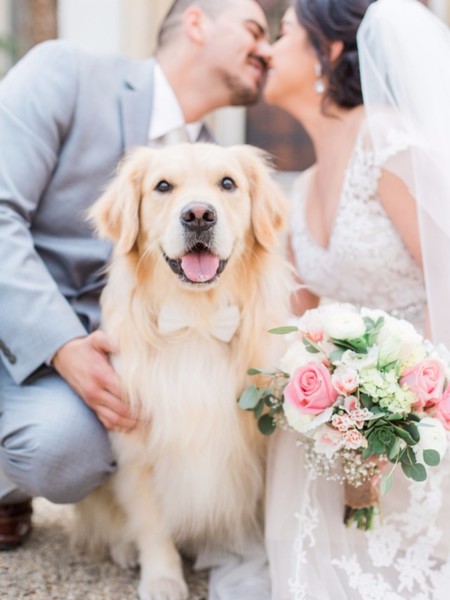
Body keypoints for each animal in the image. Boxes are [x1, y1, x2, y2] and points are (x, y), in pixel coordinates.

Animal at [73, 144, 292, 600]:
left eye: (228, 183)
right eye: (162, 186)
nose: (198, 215)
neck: (197, 322)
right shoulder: (135, 446)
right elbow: (151, 521)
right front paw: (162, 577)